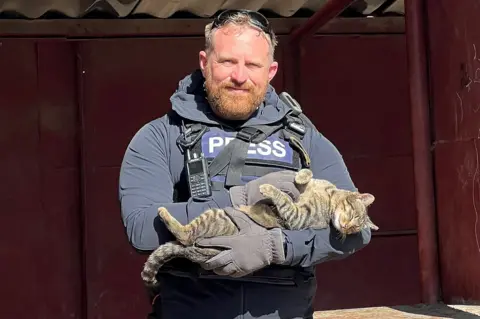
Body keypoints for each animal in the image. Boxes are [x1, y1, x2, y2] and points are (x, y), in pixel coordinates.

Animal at [141, 170, 376, 288]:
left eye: (355, 227)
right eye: (353, 216)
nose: (346, 228)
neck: (327, 195)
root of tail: (196, 253)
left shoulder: (298, 218)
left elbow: (283, 201)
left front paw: (268, 188)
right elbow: (303, 173)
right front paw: (298, 176)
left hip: (216, 217)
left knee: (186, 234)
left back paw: (165, 214)